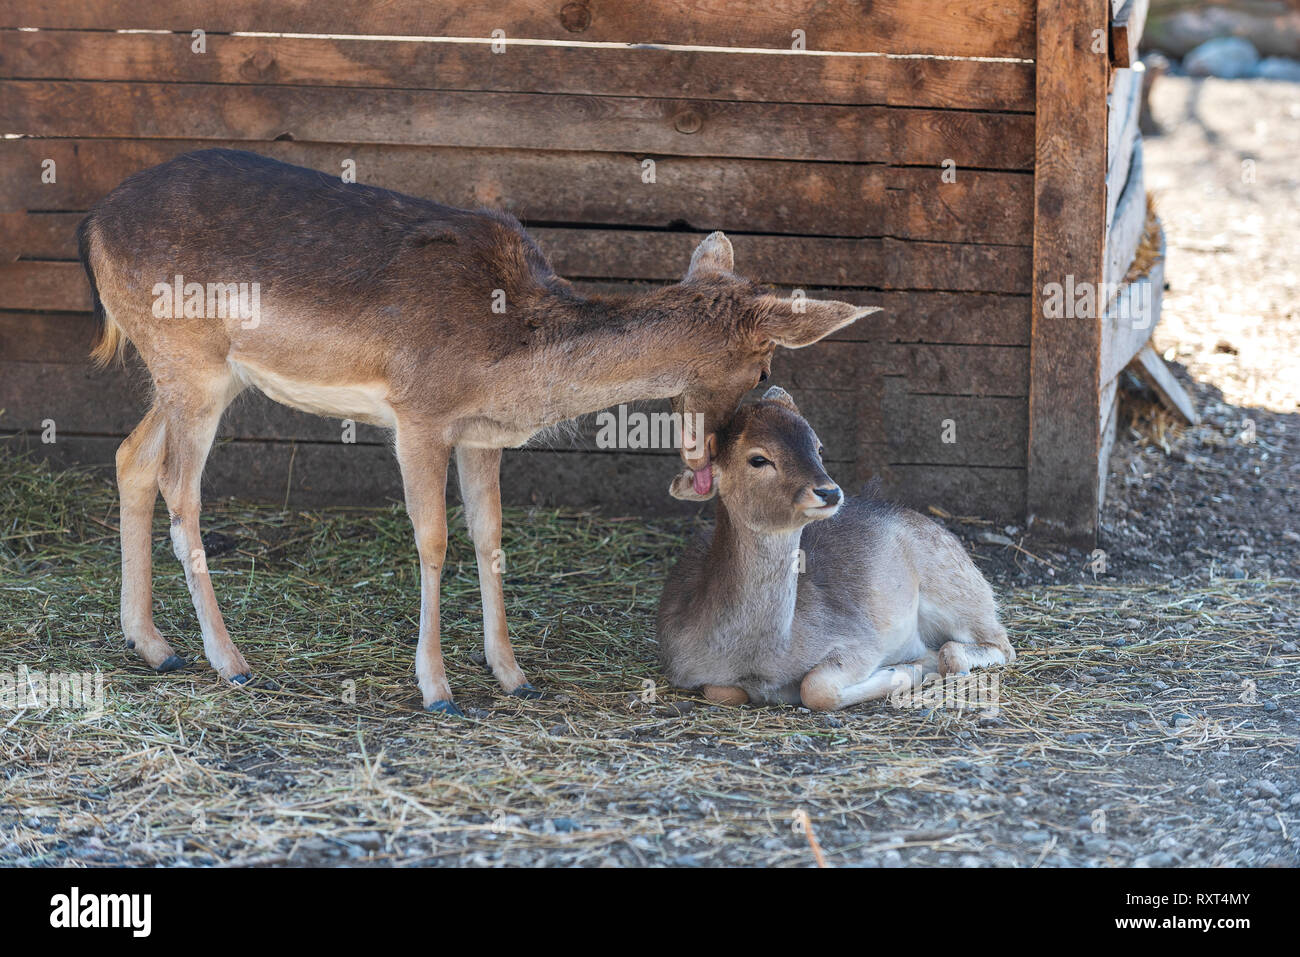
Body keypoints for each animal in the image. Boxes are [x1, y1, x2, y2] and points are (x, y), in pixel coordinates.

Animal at [78, 148, 878, 715]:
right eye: (766, 361)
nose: (713, 455)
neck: (510, 361)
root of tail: (91, 225)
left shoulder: (480, 435)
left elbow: (491, 534)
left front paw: (514, 675)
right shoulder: (419, 414)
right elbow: (433, 539)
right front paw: (437, 689)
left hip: (187, 373)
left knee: (130, 456)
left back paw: (154, 645)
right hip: (191, 362)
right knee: (180, 486)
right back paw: (231, 662)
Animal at [656, 387, 1014, 711]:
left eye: (818, 446)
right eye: (758, 458)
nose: (829, 492)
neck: (760, 658)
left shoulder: (861, 638)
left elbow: (816, 688)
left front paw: (906, 670)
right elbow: (722, 692)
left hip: (955, 588)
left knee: (994, 643)